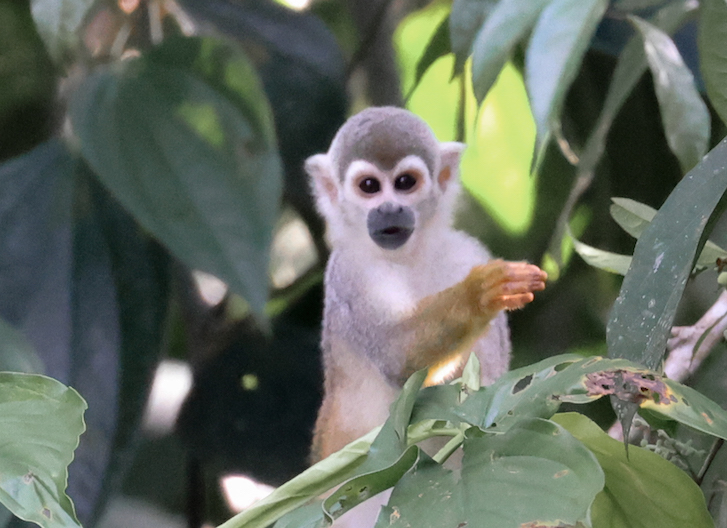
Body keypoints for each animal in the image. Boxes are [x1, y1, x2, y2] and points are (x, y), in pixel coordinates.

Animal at [304, 105, 547, 468]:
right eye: (369, 186)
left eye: (405, 183)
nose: (389, 208)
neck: (410, 256)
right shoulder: (349, 272)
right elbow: (397, 356)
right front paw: (478, 293)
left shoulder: (469, 252)